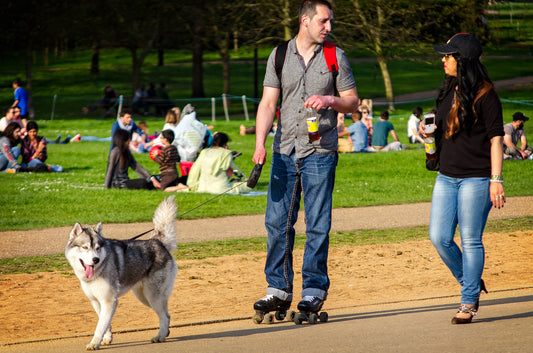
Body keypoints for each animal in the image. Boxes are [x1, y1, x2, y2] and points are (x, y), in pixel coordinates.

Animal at [65, 197, 178, 348]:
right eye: (85, 247)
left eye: (97, 248)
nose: (96, 259)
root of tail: (157, 241)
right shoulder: (96, 301)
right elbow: (105, 323)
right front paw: (107, 338)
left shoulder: (109, 301)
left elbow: (100, 326)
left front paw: (94, 343)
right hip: (145, 297)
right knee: (167, 314)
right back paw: (165, 333)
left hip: (153, 296)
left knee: (164, 316)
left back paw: (160, 336)